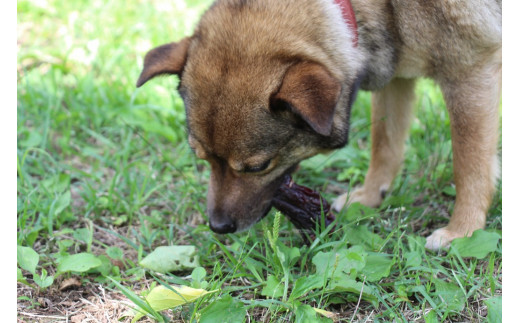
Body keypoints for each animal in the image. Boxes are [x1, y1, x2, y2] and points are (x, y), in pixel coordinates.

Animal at [136, 0, 502, 251]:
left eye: (258, 167)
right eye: (203, 159)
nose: (218, 226)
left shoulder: (470, 72)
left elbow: (468, 165)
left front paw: (464, 232)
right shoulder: (395, 76)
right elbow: (385, 143)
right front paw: (371, 195)